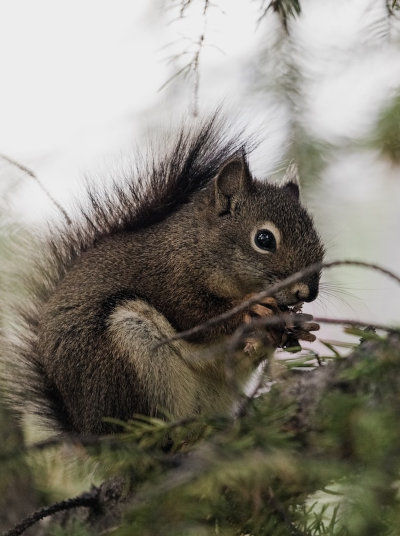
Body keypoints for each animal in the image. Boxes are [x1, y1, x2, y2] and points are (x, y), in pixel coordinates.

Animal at [1, 116, 324, 436]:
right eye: (264, 239)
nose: (307, 292)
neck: (196, 245)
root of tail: (88, 431)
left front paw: (299, 325)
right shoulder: (168, 279)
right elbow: (196, 316)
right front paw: (251, 307)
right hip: (128, 358)